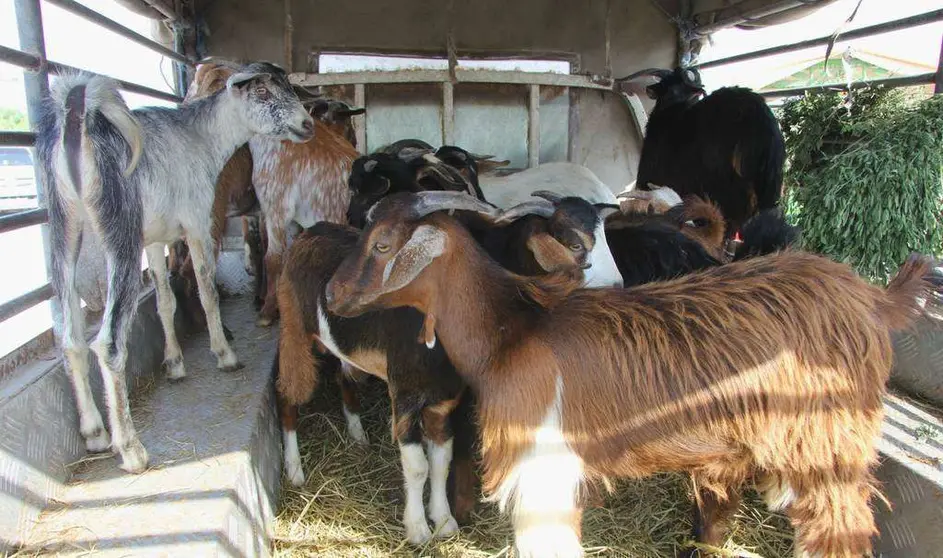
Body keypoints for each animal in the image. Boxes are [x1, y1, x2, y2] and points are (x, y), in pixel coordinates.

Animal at [37, 62, 314, 472]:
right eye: (261, 91)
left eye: (289, 87)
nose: (306, 124)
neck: (203, 137)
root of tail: (78, 114)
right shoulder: (198, 221)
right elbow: (207, 289)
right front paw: (224, 355)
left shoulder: (155, 238)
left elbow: (164, 301)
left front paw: (174, 362)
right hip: (119, 227)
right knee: (108, 342)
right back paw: (131, 449)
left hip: (64, 225)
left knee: (70, 338)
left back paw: (94, 432)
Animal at [272, 190, 620, 544]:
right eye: (574, 243)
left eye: (382, 245)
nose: (331, 293)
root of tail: (307, 233)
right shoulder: (405, 395)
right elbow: (418, 465)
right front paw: (417, 530)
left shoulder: (444, 401)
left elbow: (441, 460)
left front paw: (444, 521)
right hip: (294, 332)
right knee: (286, 394)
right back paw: (295, 471)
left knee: (344, 377)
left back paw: (357, 435)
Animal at [324, 191, 936, 558]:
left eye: (382, 244)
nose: (330, 294)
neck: (510, 330)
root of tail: (869, 297)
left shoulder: (543, 462)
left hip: (829, 439)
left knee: (840, 525)